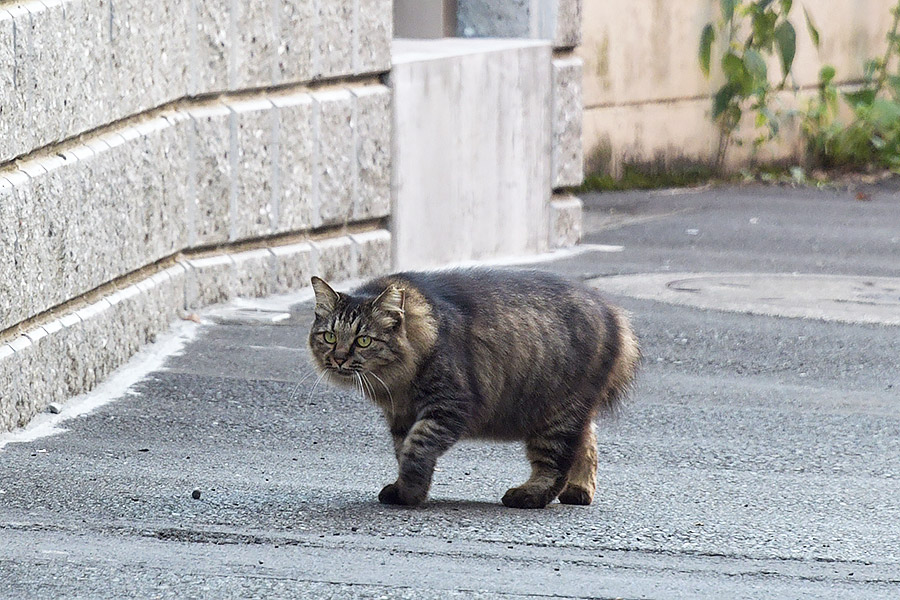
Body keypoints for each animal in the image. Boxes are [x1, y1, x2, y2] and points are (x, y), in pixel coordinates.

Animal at [310, 270, 640, 508]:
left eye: (363, 340)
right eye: (329, 336)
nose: (338, 358)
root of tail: (613, 313)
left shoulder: (447, 407)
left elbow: (416, 449)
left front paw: (409, 495)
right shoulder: (401, 415)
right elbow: (403, 451)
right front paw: (405, 488)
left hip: (556, 414)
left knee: (555, 464)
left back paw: (528, 496)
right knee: (587, 441)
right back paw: (579, 490)